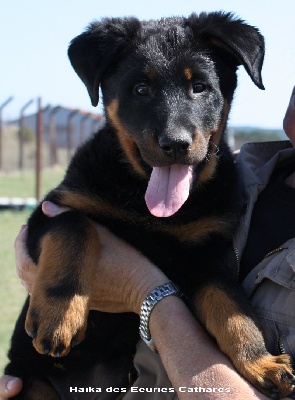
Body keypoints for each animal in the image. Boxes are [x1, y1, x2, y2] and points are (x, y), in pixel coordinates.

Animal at [4, 10, 295, 398]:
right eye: (141, 90)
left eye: (199, 87)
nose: (175, 144)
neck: (148, 205)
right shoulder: (52, 208)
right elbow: (75, 226)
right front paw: (59, 317)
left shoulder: (205, 255)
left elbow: (231, 308)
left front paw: (260, 361)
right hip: (30, 381)